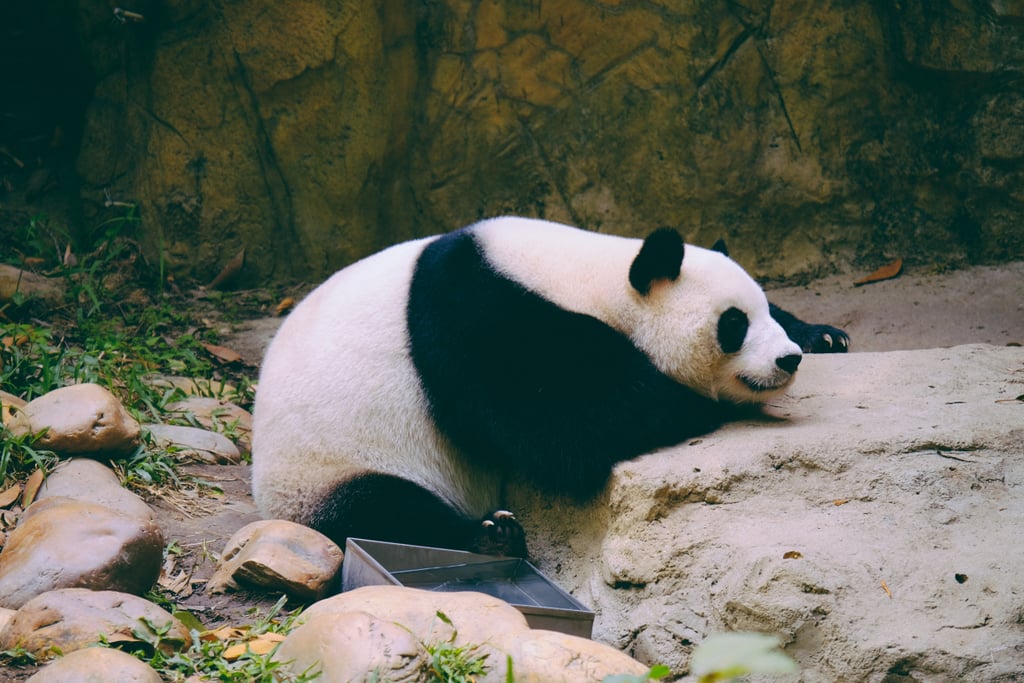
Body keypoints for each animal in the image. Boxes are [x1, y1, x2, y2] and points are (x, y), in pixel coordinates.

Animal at [251, 216, 851, 557]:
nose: (787, 359)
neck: (588, 276)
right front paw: (688, 401)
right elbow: (559, 432)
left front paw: (824, 335)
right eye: (733, 325)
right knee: (382, 511)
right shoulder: (482, 320)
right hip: (321, 470)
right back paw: (490, 537)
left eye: (762, 307)